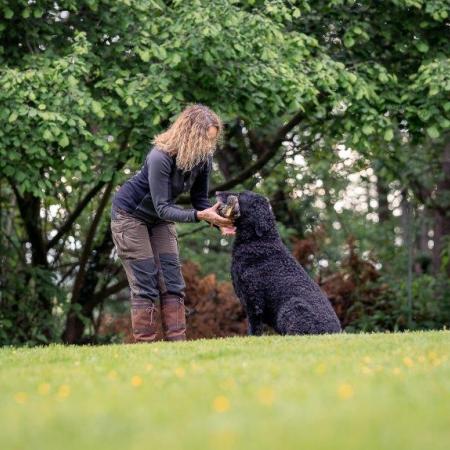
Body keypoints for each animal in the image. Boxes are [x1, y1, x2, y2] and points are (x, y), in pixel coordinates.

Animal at [215, 188, 342, 336]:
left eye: (241, 195)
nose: (217, 192)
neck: (260, 241)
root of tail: (335, 332)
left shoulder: (254, 299)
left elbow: (254, 327)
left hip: (291, 307)